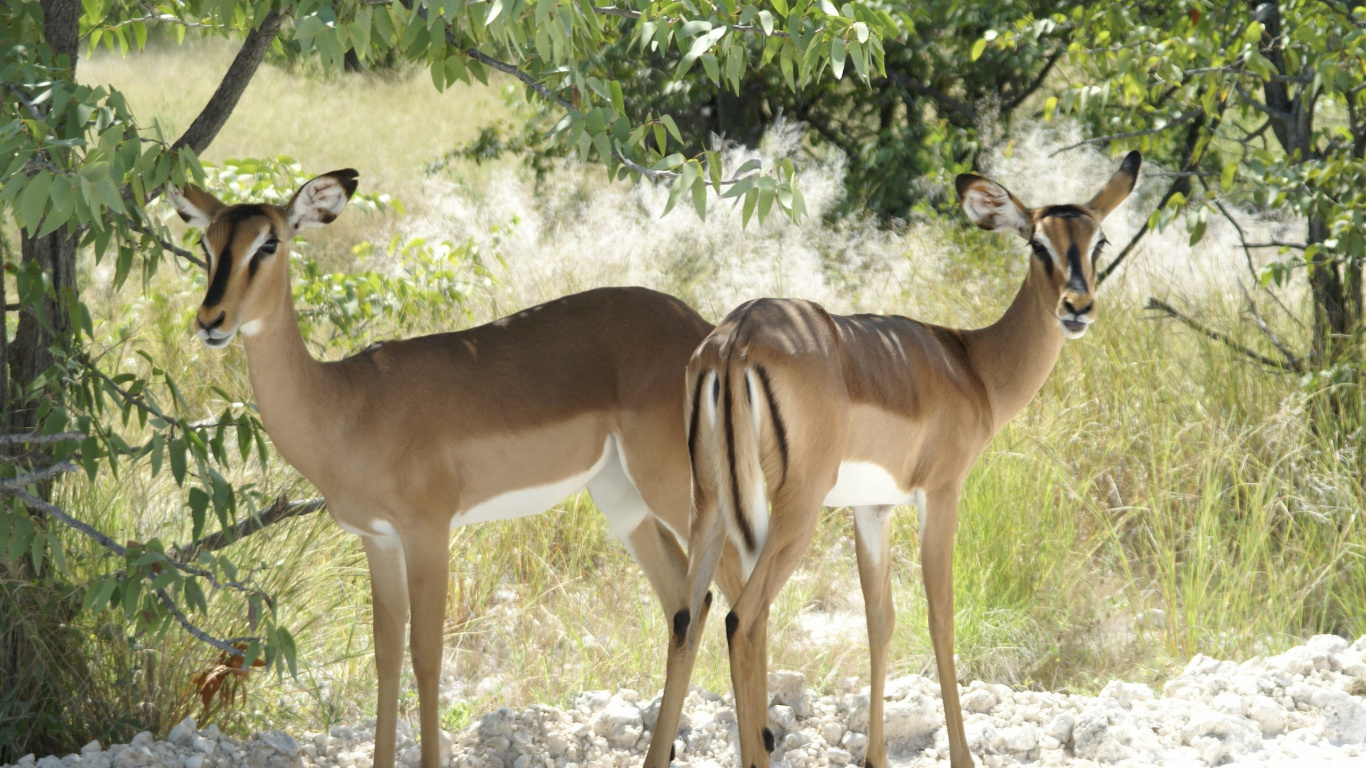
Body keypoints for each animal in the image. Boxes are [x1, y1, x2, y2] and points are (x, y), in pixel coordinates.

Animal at [169, 169, 742, 768]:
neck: (348, 405)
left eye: (269, 243)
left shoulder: (428, 531)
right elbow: (387, 654)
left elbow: (427, 654)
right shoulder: (378, 540)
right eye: (206, 244)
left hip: (682, 490)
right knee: (686, 604)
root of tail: (704, 332)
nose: (210, 321)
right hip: (622, 500)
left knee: (736, 600)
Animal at [643, 152, 1141, 768]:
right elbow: (940, 618)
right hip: (793, 516)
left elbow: (879, 622)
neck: (972, 366)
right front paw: (961, 757)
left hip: (708, 506)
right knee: (744, 619)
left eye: (1098, 242)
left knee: (688, 618)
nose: (1077, 307)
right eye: (1038, 243)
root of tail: (733, 340)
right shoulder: (942, 494)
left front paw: (875, 756)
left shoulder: (872, 509)